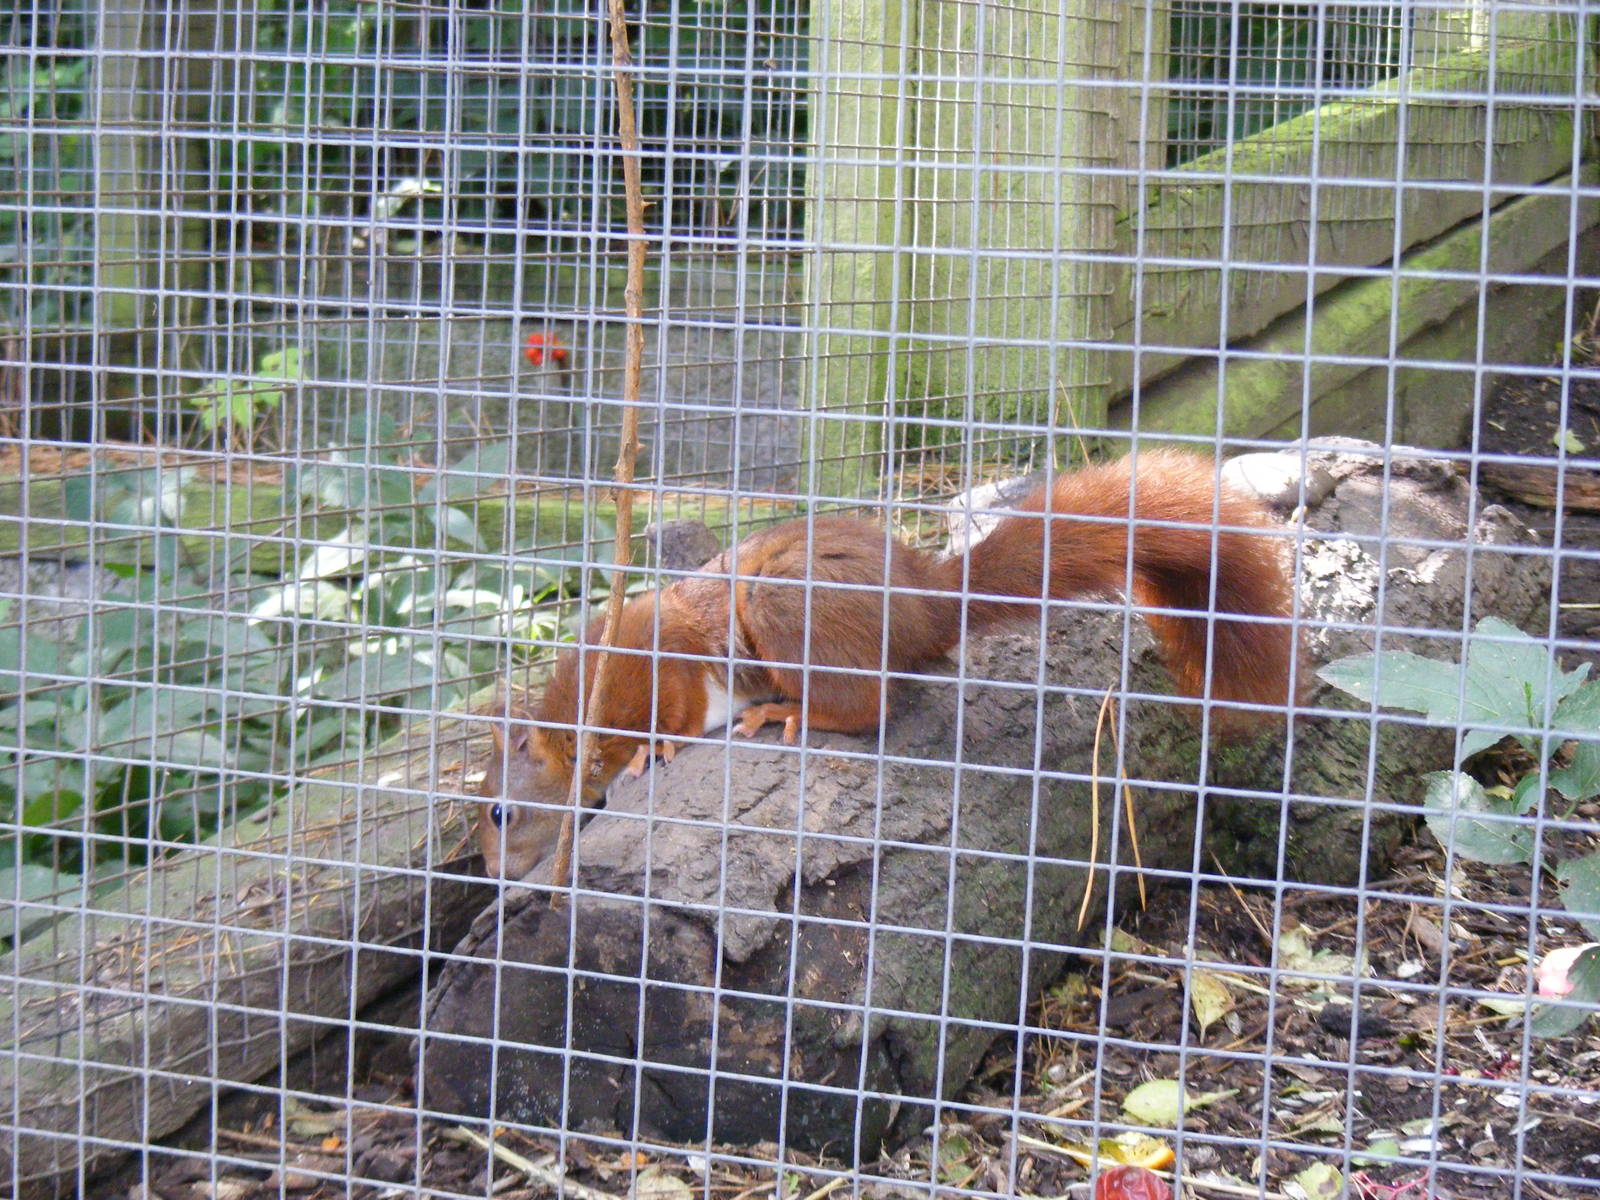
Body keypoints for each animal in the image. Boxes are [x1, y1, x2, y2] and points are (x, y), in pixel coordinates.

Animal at [477, 450, 1300, 879]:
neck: (574, 721)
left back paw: (784, 709)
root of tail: (923, 604)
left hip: (782, 602)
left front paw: (652, 752)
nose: (492, 874)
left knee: (865, 705)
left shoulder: (657, 654)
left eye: (499, 813)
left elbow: (673, 707)